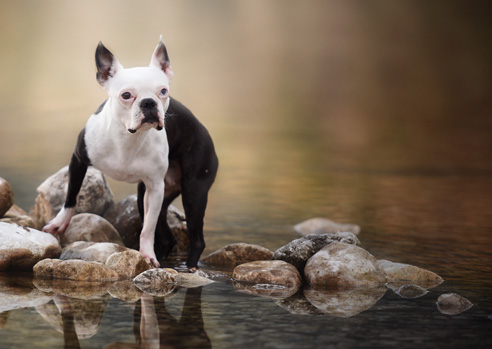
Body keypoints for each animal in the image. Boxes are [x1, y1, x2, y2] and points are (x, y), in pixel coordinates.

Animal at [43, 38, 218, 272]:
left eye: (163, 91)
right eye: (126, 95)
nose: (149, 102)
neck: (128, 137)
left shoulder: (155, 188)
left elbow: (148, 229)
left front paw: (147, 255)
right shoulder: (78, 160)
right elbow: (71, 196)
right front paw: (59, 223)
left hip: (193, 191)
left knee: (196, 239)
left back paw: (187, 267)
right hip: (149, 193)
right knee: (167, 238)